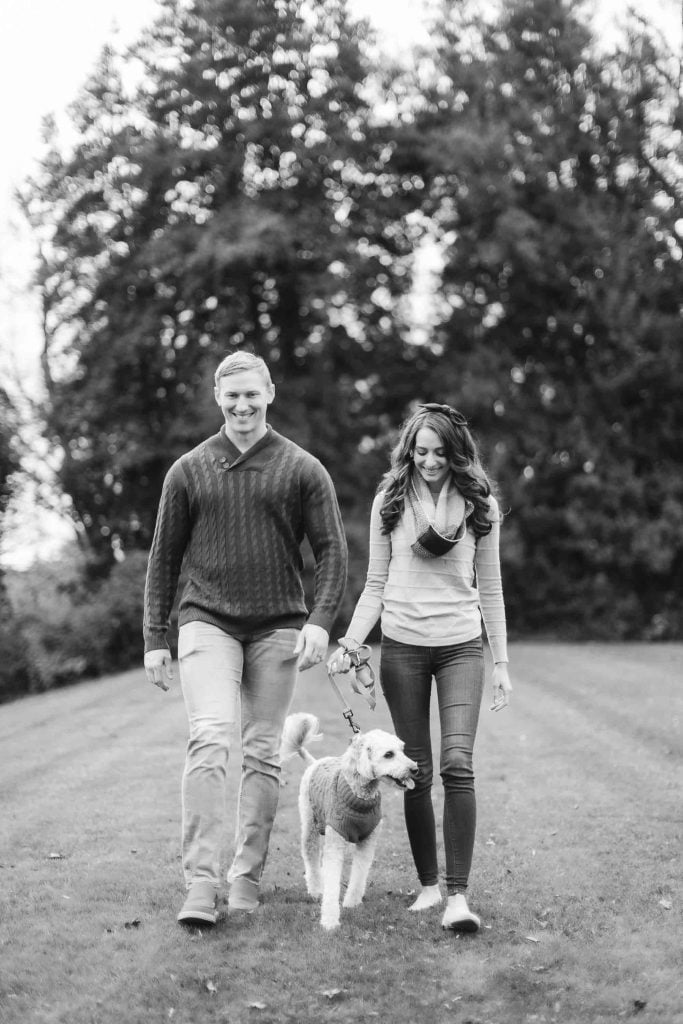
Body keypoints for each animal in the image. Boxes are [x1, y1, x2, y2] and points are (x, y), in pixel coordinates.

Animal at [278, 708, 417, 933]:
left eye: (402, 750)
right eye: (388, 754)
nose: (415, 769)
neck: (359, 795)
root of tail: (315, 762)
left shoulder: (368, 841)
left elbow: (359, 874)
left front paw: (351, 903)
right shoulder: (336, 840)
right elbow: (333, 880)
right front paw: (330, 921)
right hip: (310, 824)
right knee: (311, 858)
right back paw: (316, 890)